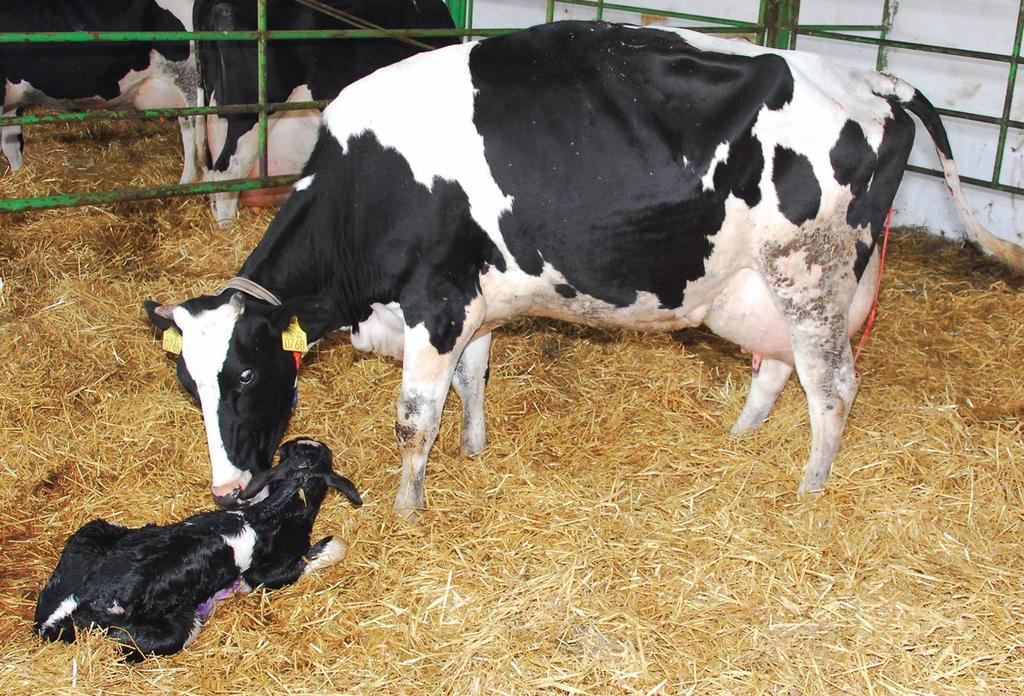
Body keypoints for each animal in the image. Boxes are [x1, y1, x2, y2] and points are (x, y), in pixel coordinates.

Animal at [34, 438, 362, 659]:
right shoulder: (266, 576)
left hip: (91, 530)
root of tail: (78, 599)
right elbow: (328, 549)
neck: (273, 511)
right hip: (173, 630)